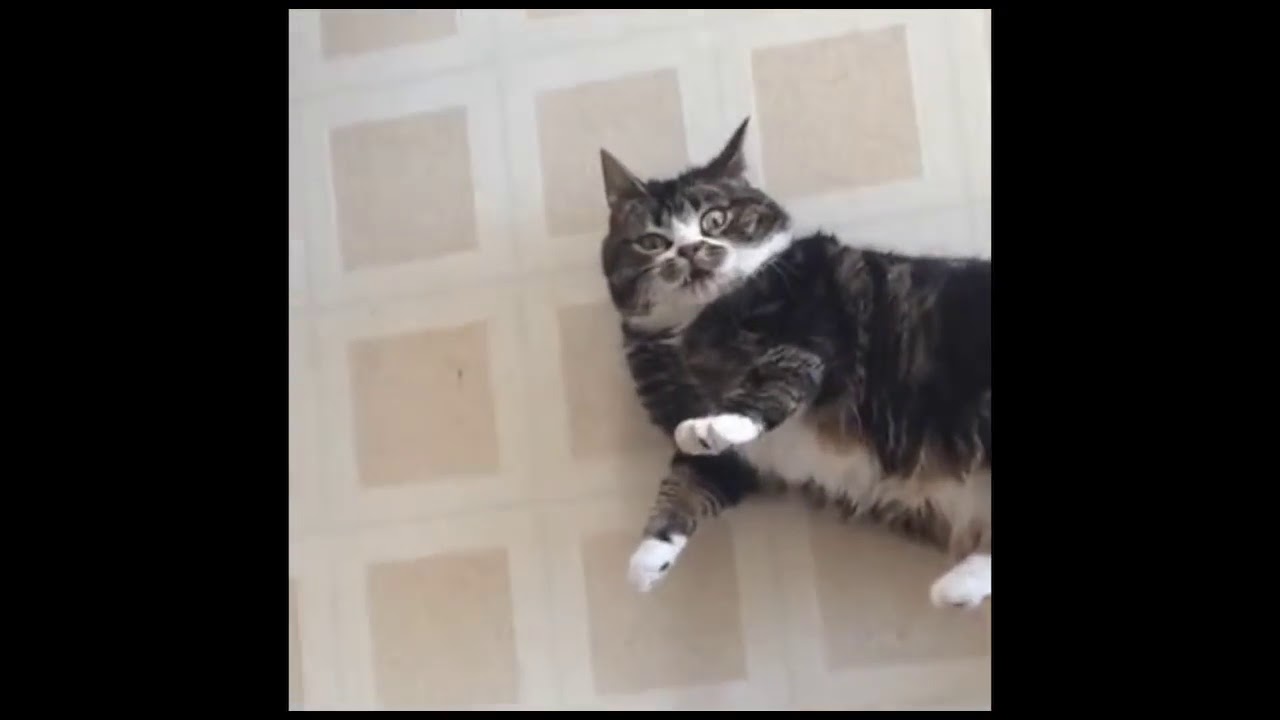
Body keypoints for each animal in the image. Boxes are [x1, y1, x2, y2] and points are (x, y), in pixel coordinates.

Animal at [596, 117, 991, 609]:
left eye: (715, 220)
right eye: (653, 241)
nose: (688, 250)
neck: (690, 324)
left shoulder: (812, 334)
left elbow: (778, 381)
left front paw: (718, 424)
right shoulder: (726, 463)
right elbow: (684, 484)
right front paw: (648, 557)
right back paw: (960, 587)